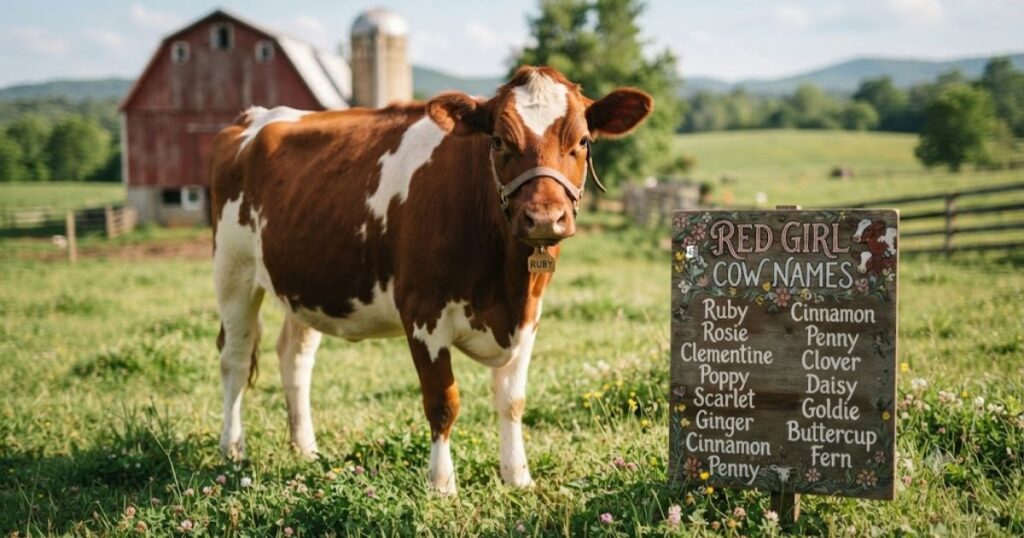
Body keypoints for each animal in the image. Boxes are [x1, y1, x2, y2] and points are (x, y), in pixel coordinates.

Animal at [208, 66, 653, 495]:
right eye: (498, 141)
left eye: (583, 141)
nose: (544, 217)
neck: (506, 283)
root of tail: (256, 117)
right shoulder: (423, 313)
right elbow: (443, 401)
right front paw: (441, 483)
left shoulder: (529, 317)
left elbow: (512, 400)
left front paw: (518, 477)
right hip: (233, 269)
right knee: (235, 357)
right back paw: (232, 449)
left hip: (305, 283)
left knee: (295, 358)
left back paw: (305, 449)